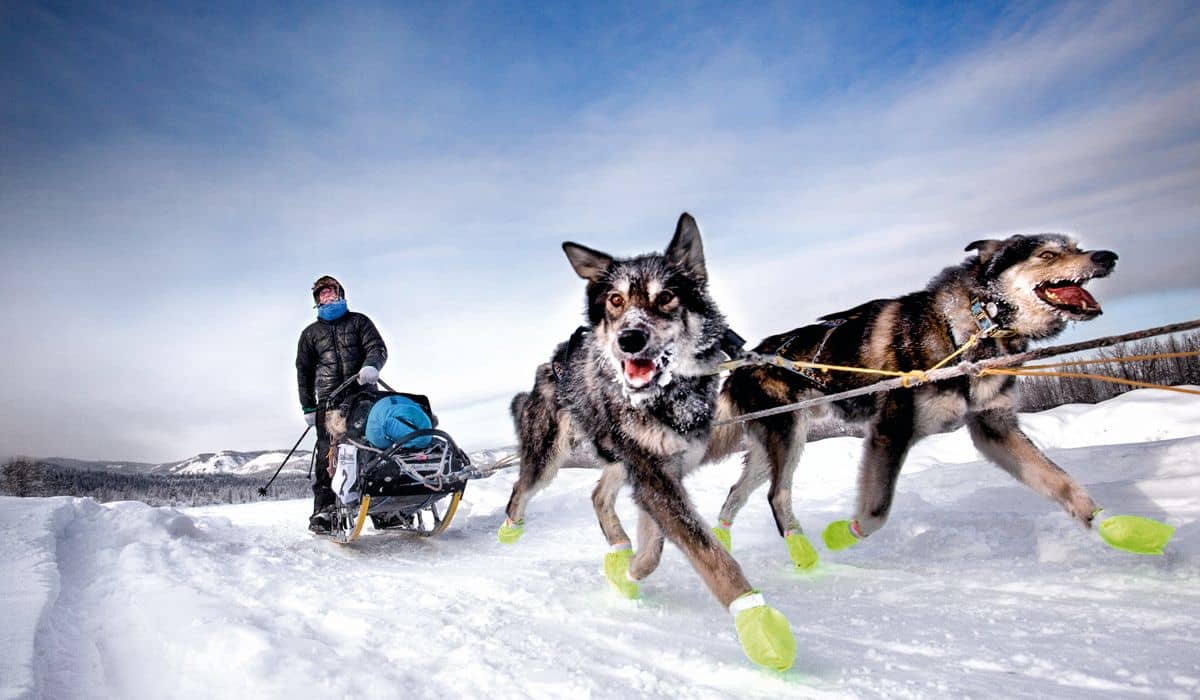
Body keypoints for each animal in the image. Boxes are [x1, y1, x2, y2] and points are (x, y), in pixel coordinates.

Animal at [496, 214, 796, 672]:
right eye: (616, 300)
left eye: (666, 297)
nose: (630, 339)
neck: (666, 397)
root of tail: (548, 364)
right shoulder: (654, 475)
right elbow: (710, 555)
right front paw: (758, 623)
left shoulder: (662, 472)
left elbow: (655, 548)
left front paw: (629, 574)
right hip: (550, 455)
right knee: (520, 488)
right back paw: (510, 530)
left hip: (619, 458)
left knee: (598, 493)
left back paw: (619, 544)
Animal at [700, 232, 1113, 566]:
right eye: (1047, 254)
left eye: (1075, 247)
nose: (1107, 256)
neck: (970, 326)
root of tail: (742, 364)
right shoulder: (890, 430)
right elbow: (877, 510)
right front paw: (842, 534)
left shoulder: (993, 426)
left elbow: (1062, 482)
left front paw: (1115, 528)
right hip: (788, 436)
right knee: (777, 495)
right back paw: (803, 554)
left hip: (773, 445)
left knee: (738, 491)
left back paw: (724, 537)